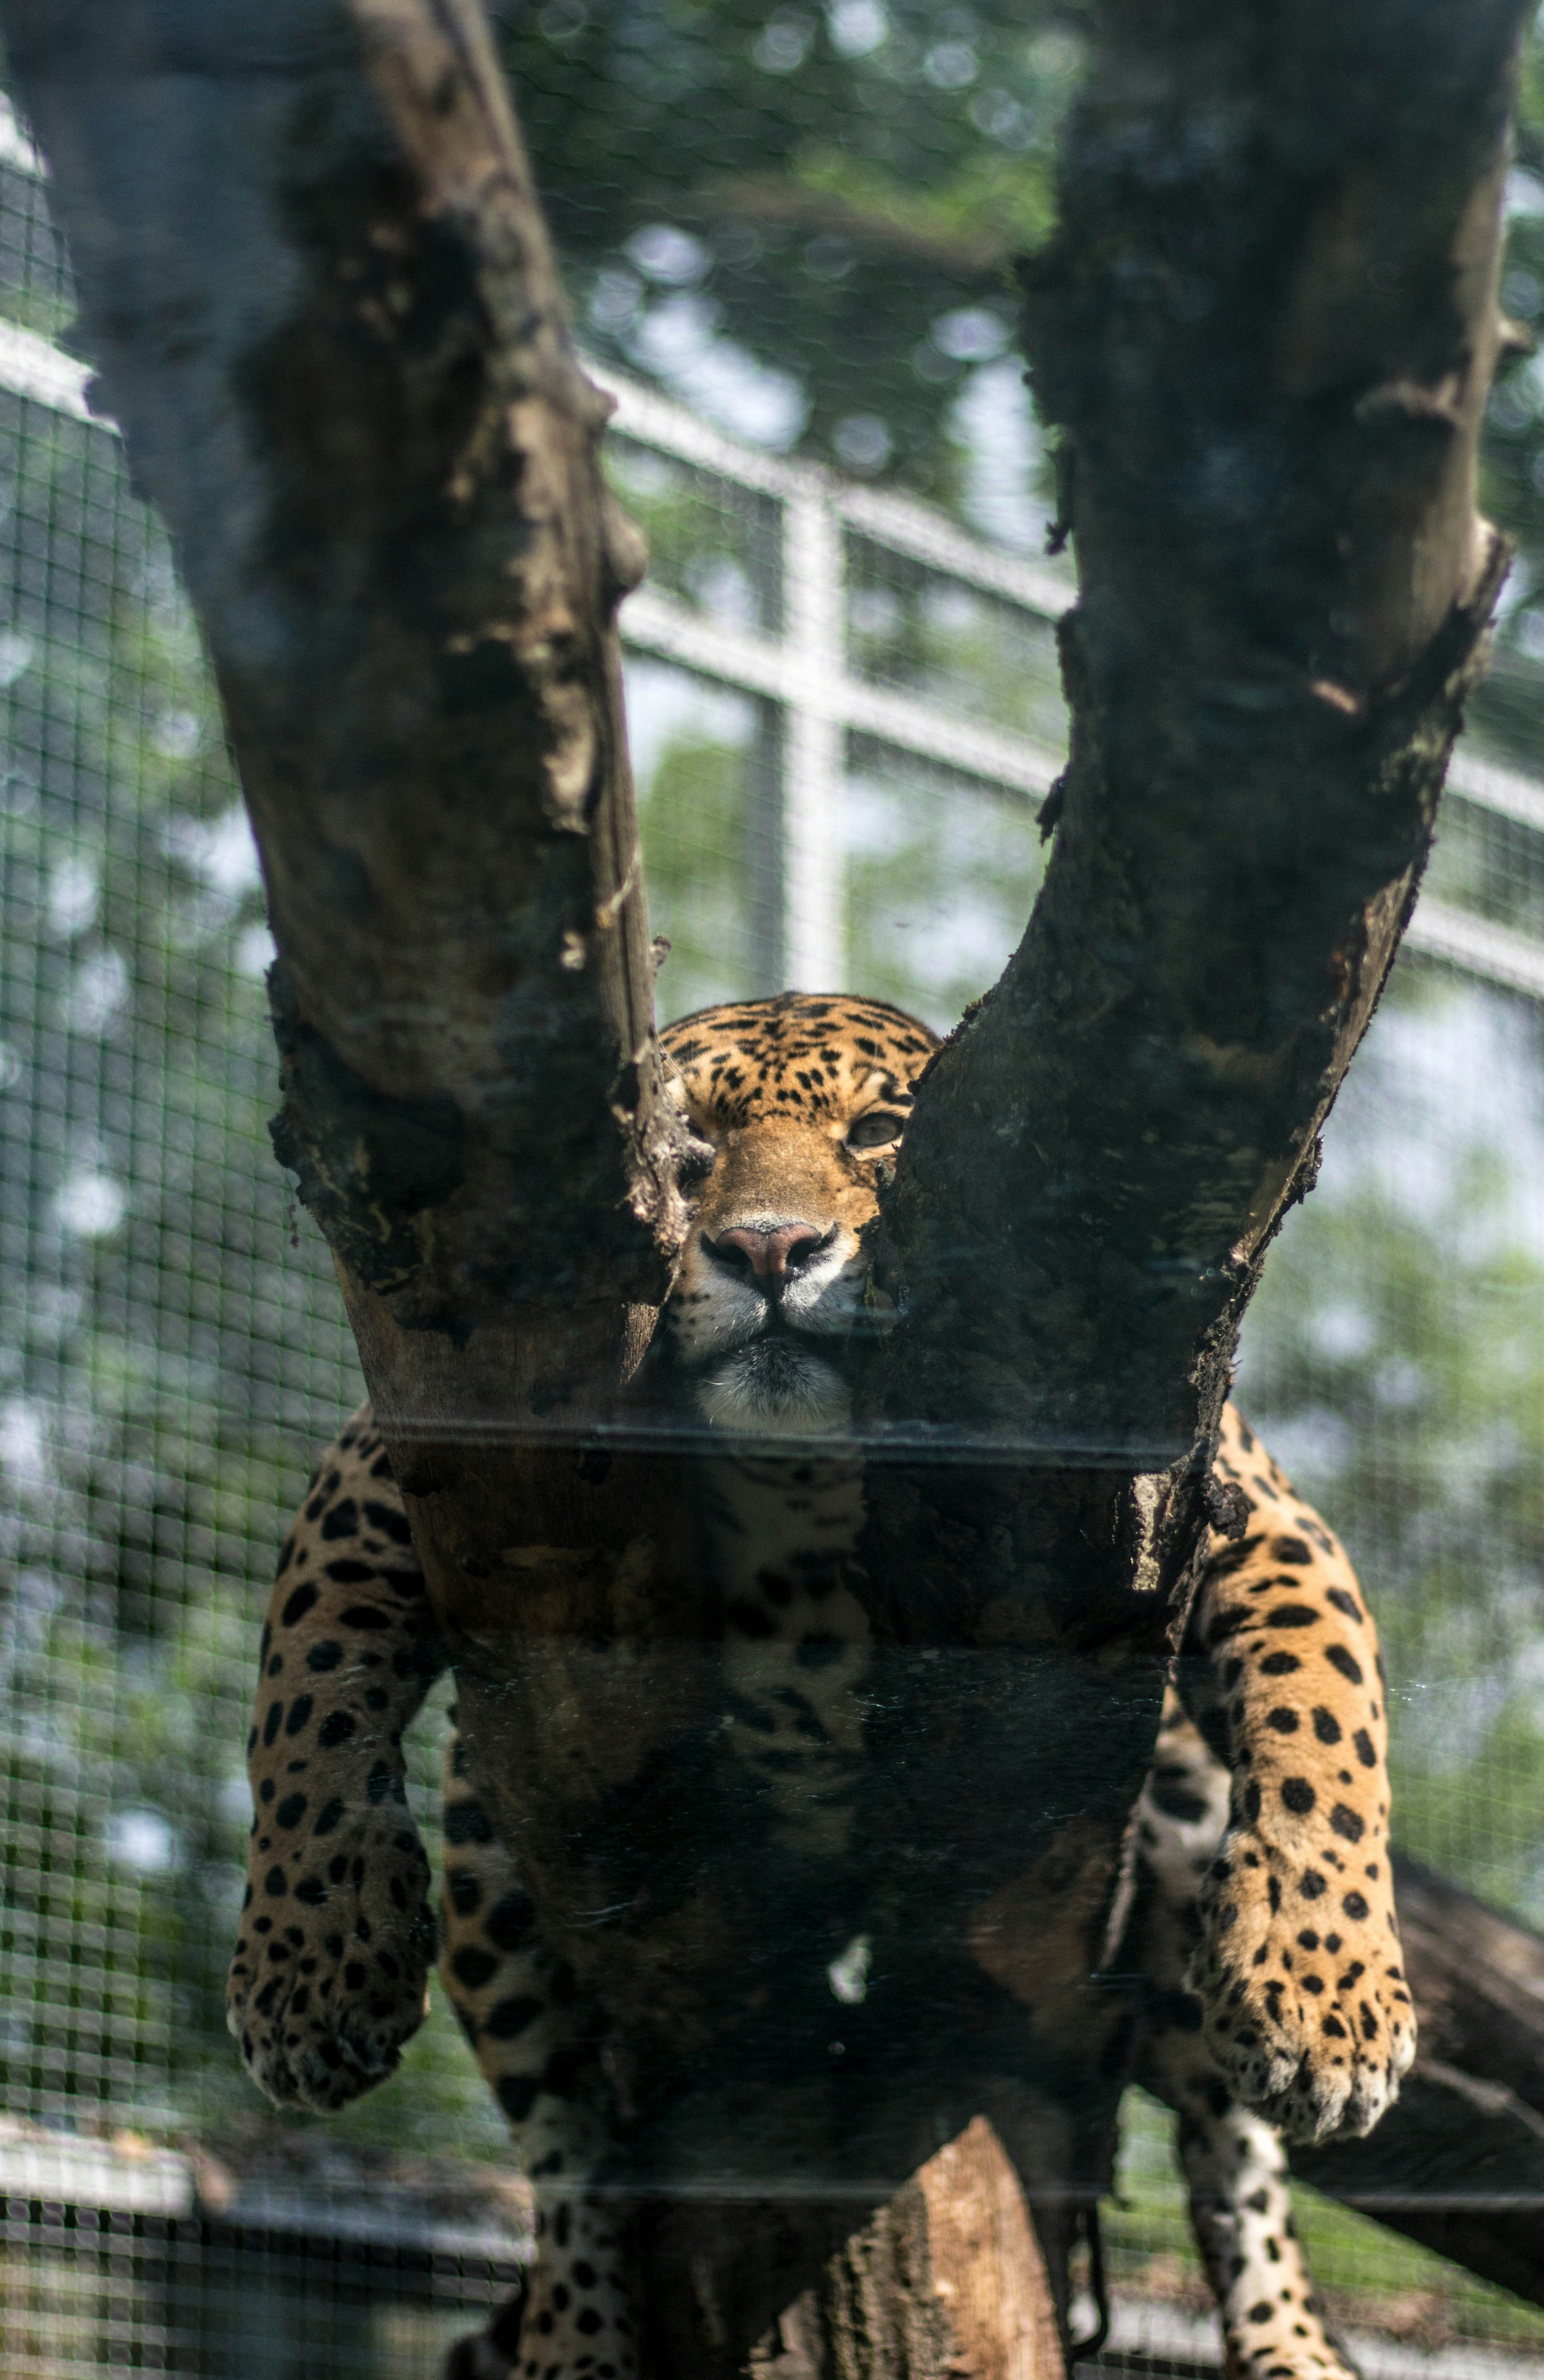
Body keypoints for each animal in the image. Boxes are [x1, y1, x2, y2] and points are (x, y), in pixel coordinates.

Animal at [226, 992, 1414, 2380]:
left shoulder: (1259, 1512)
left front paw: (1328, 1997)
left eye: (880, 1132)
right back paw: (573, 2340)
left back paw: (1297, 2332)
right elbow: (306, 1680)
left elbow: (1324, 1728)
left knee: (1238, 2160)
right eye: (686, 1152)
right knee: (569, 2158)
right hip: (485, 1860)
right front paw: (308, 1971)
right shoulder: (383, 1459)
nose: (771, 1249)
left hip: (1174, 1832)